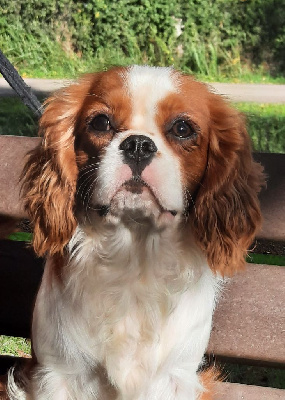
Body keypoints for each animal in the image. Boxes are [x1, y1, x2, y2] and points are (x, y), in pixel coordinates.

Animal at [7, 65, 262, 396]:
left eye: (183, 129)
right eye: (101, 122)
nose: (138, 144)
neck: (134, 255)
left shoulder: (176, 378)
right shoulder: (56, 374)